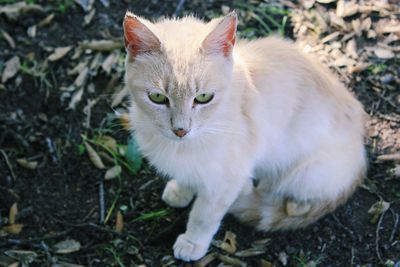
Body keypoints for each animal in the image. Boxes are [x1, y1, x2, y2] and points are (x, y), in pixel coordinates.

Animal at [123, 11, 368, 262]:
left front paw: (192, 242)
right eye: (157, 97)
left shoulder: (228, 177)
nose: (181, 130)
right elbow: (187, 174)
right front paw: (181, 190)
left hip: (306, 172)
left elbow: (204, 215)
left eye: (203, 97)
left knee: (296, 203)